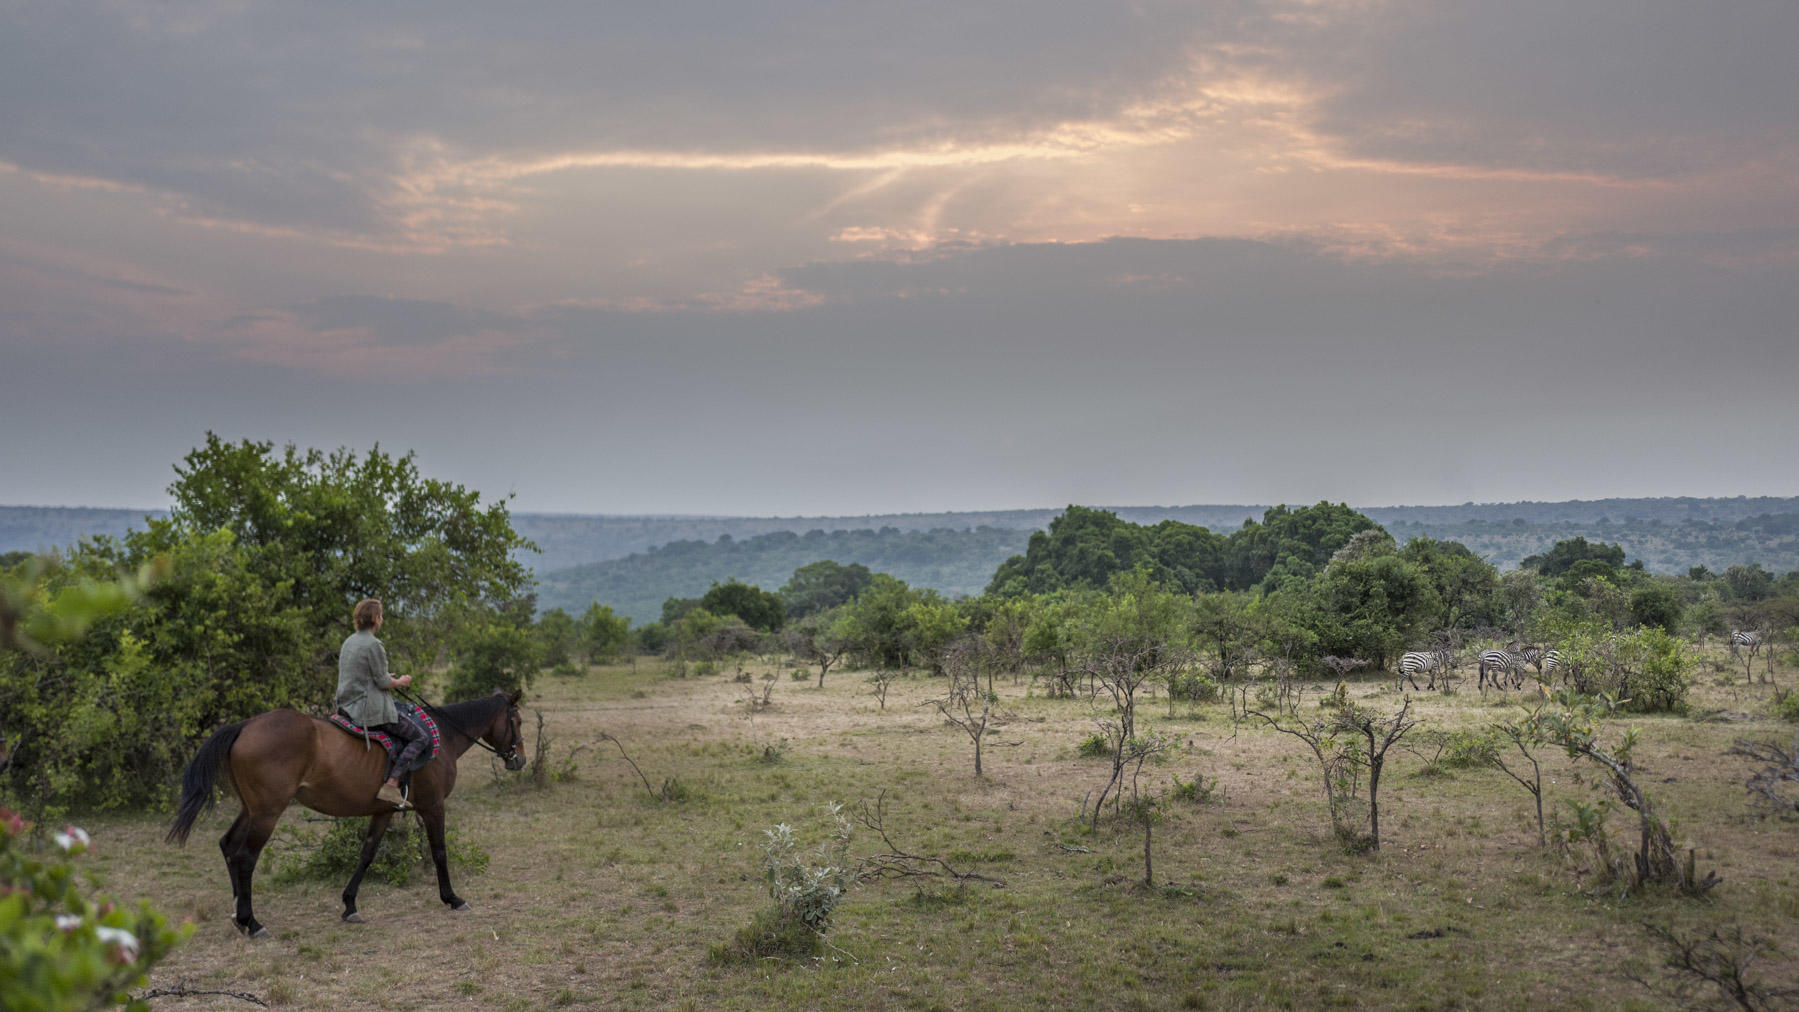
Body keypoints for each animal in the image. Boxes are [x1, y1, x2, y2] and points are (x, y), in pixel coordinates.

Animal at [167, 689, 525, 937]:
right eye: (518, 721)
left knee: (228, 846)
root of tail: (246, 726)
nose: (519, 759)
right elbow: (439, 852)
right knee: (245, 857)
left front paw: (350, 904)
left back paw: (237, 914)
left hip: (250, 809)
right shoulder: (433, 806)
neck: (444, 736)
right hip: (267, 812)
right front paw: (452, 898)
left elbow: (367, 853)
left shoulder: (384, 810)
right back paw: (251, 922)